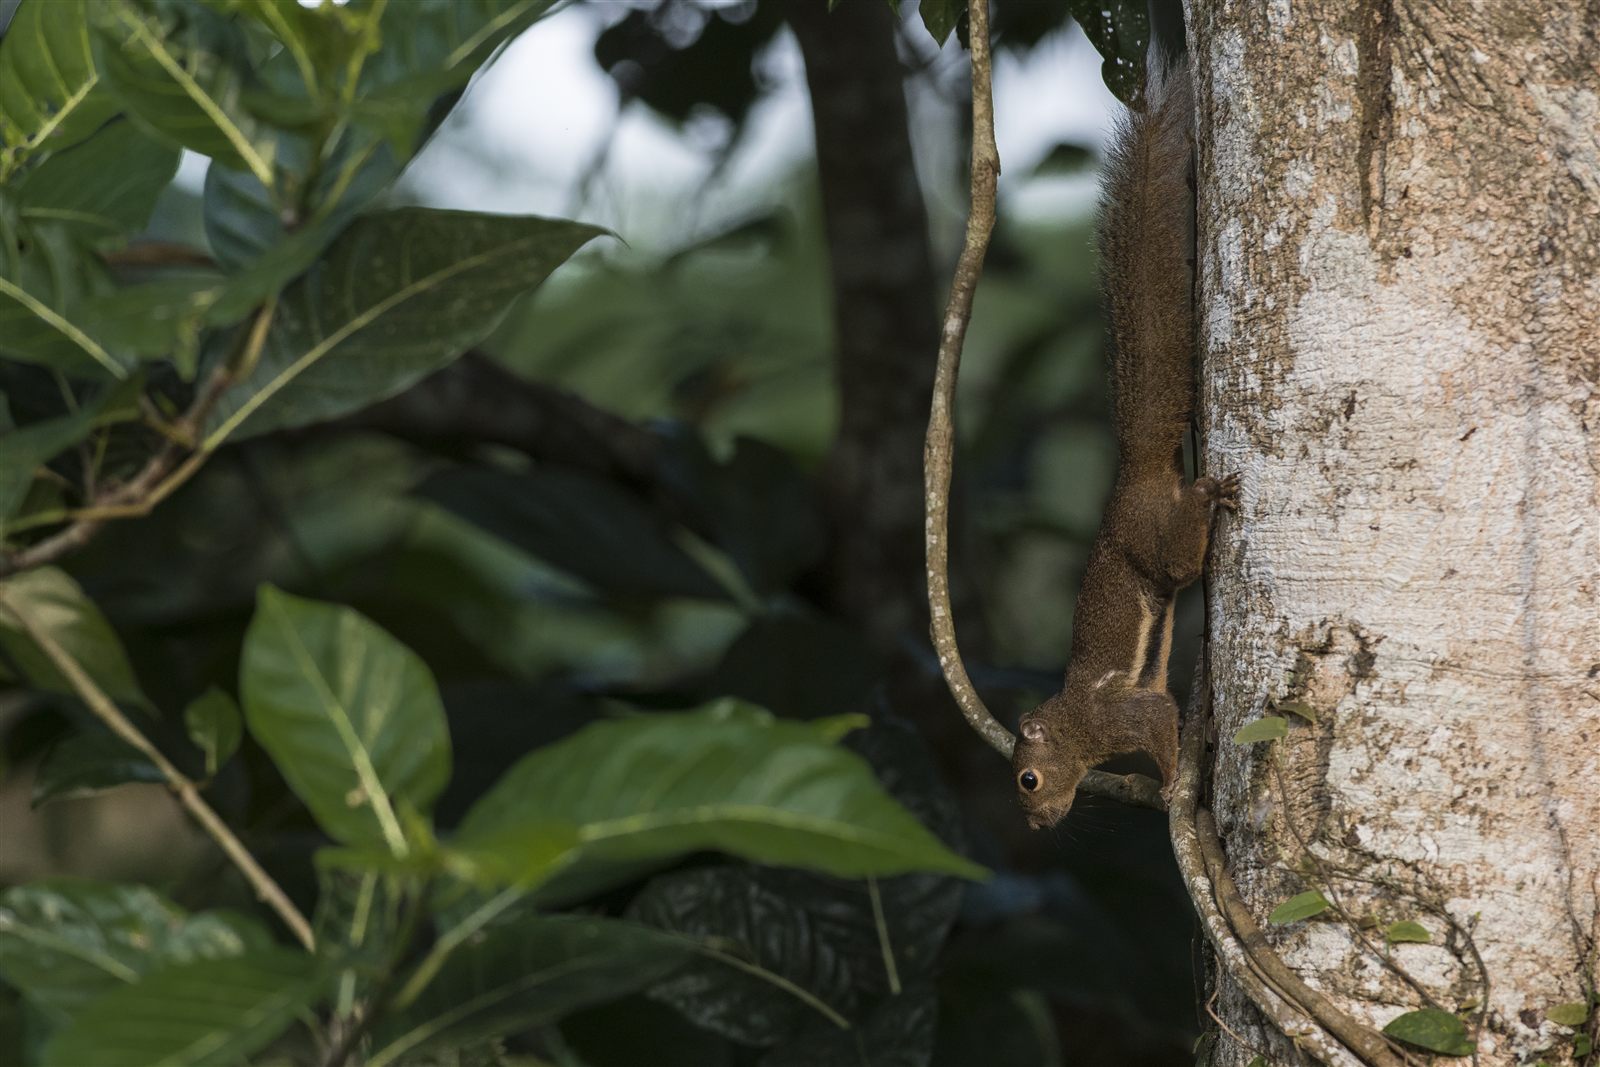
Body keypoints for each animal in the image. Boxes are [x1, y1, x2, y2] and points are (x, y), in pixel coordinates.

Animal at [1013, 54, 1237, 831]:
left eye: (1026, 779)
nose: (1038, 825)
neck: (1074, 728)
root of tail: (1133, 476)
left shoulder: (1119, 718)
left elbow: (1158, 721)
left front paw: (1172, 789)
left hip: (1151, 540)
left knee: (1180, 560)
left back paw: (1207, 492)